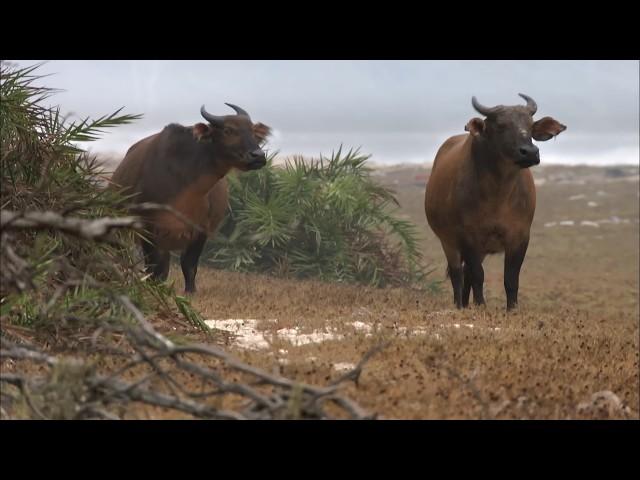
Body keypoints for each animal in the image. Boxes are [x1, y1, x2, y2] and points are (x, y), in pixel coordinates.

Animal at [110, 102, 270, 292]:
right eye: (228, 130)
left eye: (252, 130)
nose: (258, 155)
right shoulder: (149, 229)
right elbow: (154, 269)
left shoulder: (200, 232)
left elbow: (189, 266)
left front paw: (190, 292)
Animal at [424, 94, 564, 312]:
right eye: (500, 126)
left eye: (530, 125)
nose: (530, 152)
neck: (499, 195)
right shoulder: (470, 237)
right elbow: (478, 275)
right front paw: (481, 304)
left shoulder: (520, 236)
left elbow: (511, 278)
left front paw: (512, 308)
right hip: (447, 241)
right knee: (457, 273)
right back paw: (460, 304)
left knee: (465, 273)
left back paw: (466, 303)